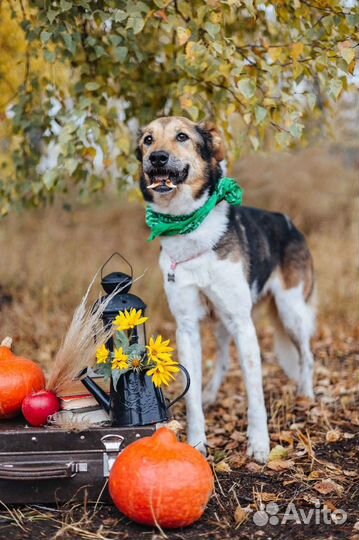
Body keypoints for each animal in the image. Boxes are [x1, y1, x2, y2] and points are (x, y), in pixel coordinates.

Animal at [136, 116, 316, 462]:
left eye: (182, 136)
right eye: (148, 140)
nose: (157, 158)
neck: (189, 227)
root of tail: (289, 223)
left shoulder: (243, 324)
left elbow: (255, 393)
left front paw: (259, 445)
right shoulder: (187, 328)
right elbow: (191, 394)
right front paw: (196, 442)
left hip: (291, 312)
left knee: (307, 355)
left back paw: (307, 395)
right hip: (221, 322)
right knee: (222, 359)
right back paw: (211, 394)